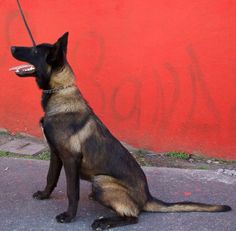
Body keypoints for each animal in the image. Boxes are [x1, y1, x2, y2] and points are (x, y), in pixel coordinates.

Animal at [10, 32, 231, 229]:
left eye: (34, 50)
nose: (11, 47)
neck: (60, 92)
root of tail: (147, 197)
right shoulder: (56, 154)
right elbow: (50, 178)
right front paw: (44, 195)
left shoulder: (70, 159)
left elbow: (72, 191)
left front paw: (69, 216)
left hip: (101, 180)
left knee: (133, 216)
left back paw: (105, 222)